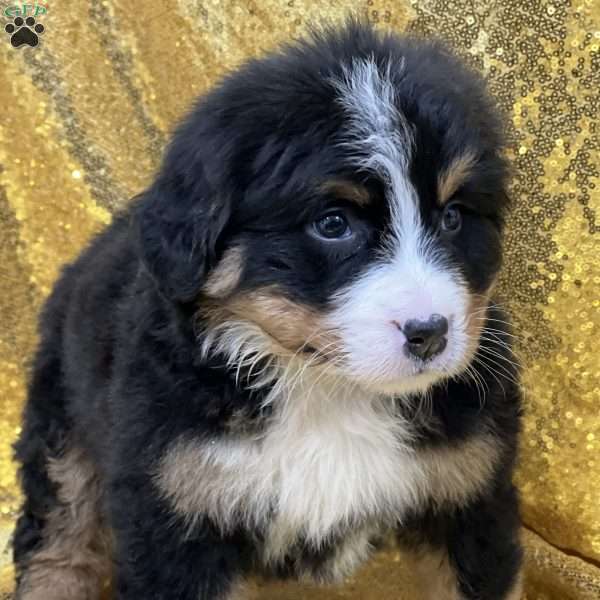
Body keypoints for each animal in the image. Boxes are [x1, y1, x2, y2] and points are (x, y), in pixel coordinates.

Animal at [12, 21, 520, 600]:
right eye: (333, 223)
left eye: (454, 216)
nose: (430, 333)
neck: (326, 392)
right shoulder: (178, 510)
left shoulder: (471, 493)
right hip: (63, 430)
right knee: (59, 545)